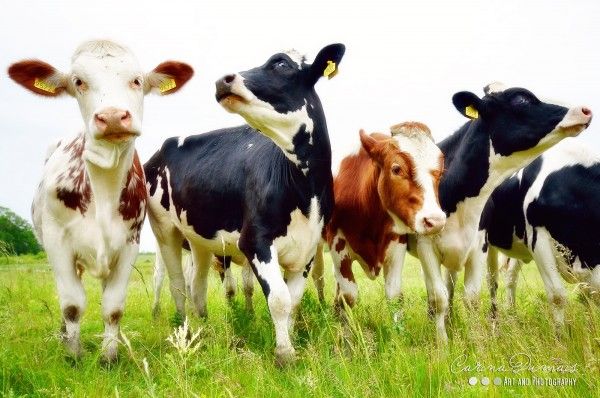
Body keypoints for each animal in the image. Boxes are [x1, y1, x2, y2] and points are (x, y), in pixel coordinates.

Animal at [8, 41, 193, 364]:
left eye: (137, 80)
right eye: (78, 82)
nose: (113, 116)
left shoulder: (129, 244)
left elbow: (113, 307)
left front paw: (109, 356)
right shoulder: (57, 243)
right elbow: (72, 304)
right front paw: (73, 354)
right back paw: (64, 335)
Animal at [145, 42, 346, 364]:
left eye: (281, 64)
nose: (223, 80)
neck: (305, 191)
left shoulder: (307, 249)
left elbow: (293, 300)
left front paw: (289, 343)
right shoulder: (255, 241)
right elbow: (278, 299)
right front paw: (284, 354)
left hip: (200, 240)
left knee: (196, 287)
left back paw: (204, 329)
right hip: (165, 230)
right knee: (176, 285)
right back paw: (184, 333)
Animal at [324, 123, 446, 306]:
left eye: (441, 172)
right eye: (396, 169)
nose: (435, 221)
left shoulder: (397, 242)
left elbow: (394, 295)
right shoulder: (336, 241)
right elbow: (349, 295)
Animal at [478, 137, 600, 324]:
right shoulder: (539, 239)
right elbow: (557, 296)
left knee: (510, 276)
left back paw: (512, 314)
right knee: (491, 280)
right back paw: (492, 320)